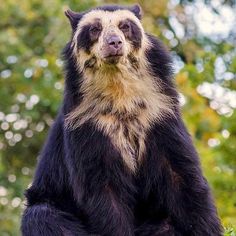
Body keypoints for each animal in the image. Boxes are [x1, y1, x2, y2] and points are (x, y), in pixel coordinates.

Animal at [21, 3, 222, 236]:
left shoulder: (160, 116)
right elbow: (104, 190)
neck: (119, 90)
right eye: (95, 29)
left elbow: (182, 175)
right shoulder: (88, 125)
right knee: (42, 216)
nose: (114, 42)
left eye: (125, 26)